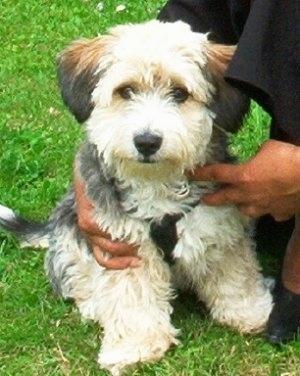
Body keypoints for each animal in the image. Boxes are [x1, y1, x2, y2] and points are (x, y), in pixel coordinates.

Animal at [0, 21, 274, 376]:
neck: (158, 186)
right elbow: (132, 298)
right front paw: (136, 346)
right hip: (70, 235)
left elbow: (236, 277)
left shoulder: (221, 229)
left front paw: (253, 312)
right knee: (76, 280)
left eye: (180, 93)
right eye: (126, 90)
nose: (146, 141)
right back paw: (94, 304)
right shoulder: (123, 247)